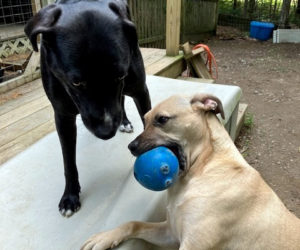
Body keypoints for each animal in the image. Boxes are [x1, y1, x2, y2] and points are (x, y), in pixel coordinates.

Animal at [24, 0, 151, 217]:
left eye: (120, 76)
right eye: (76, 82)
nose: (106, 132)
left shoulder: (140, 91)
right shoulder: (63, 117)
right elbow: (68, 161)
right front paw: (70, 196)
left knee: (122, 99)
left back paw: (124, 121)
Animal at [81, 94, 300, 250]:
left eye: (162, 119)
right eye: (146, 119)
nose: (131, 147)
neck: (204, 167)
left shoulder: (192, 243)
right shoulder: (170, 232)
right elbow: (134, 223)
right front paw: (106, 236)